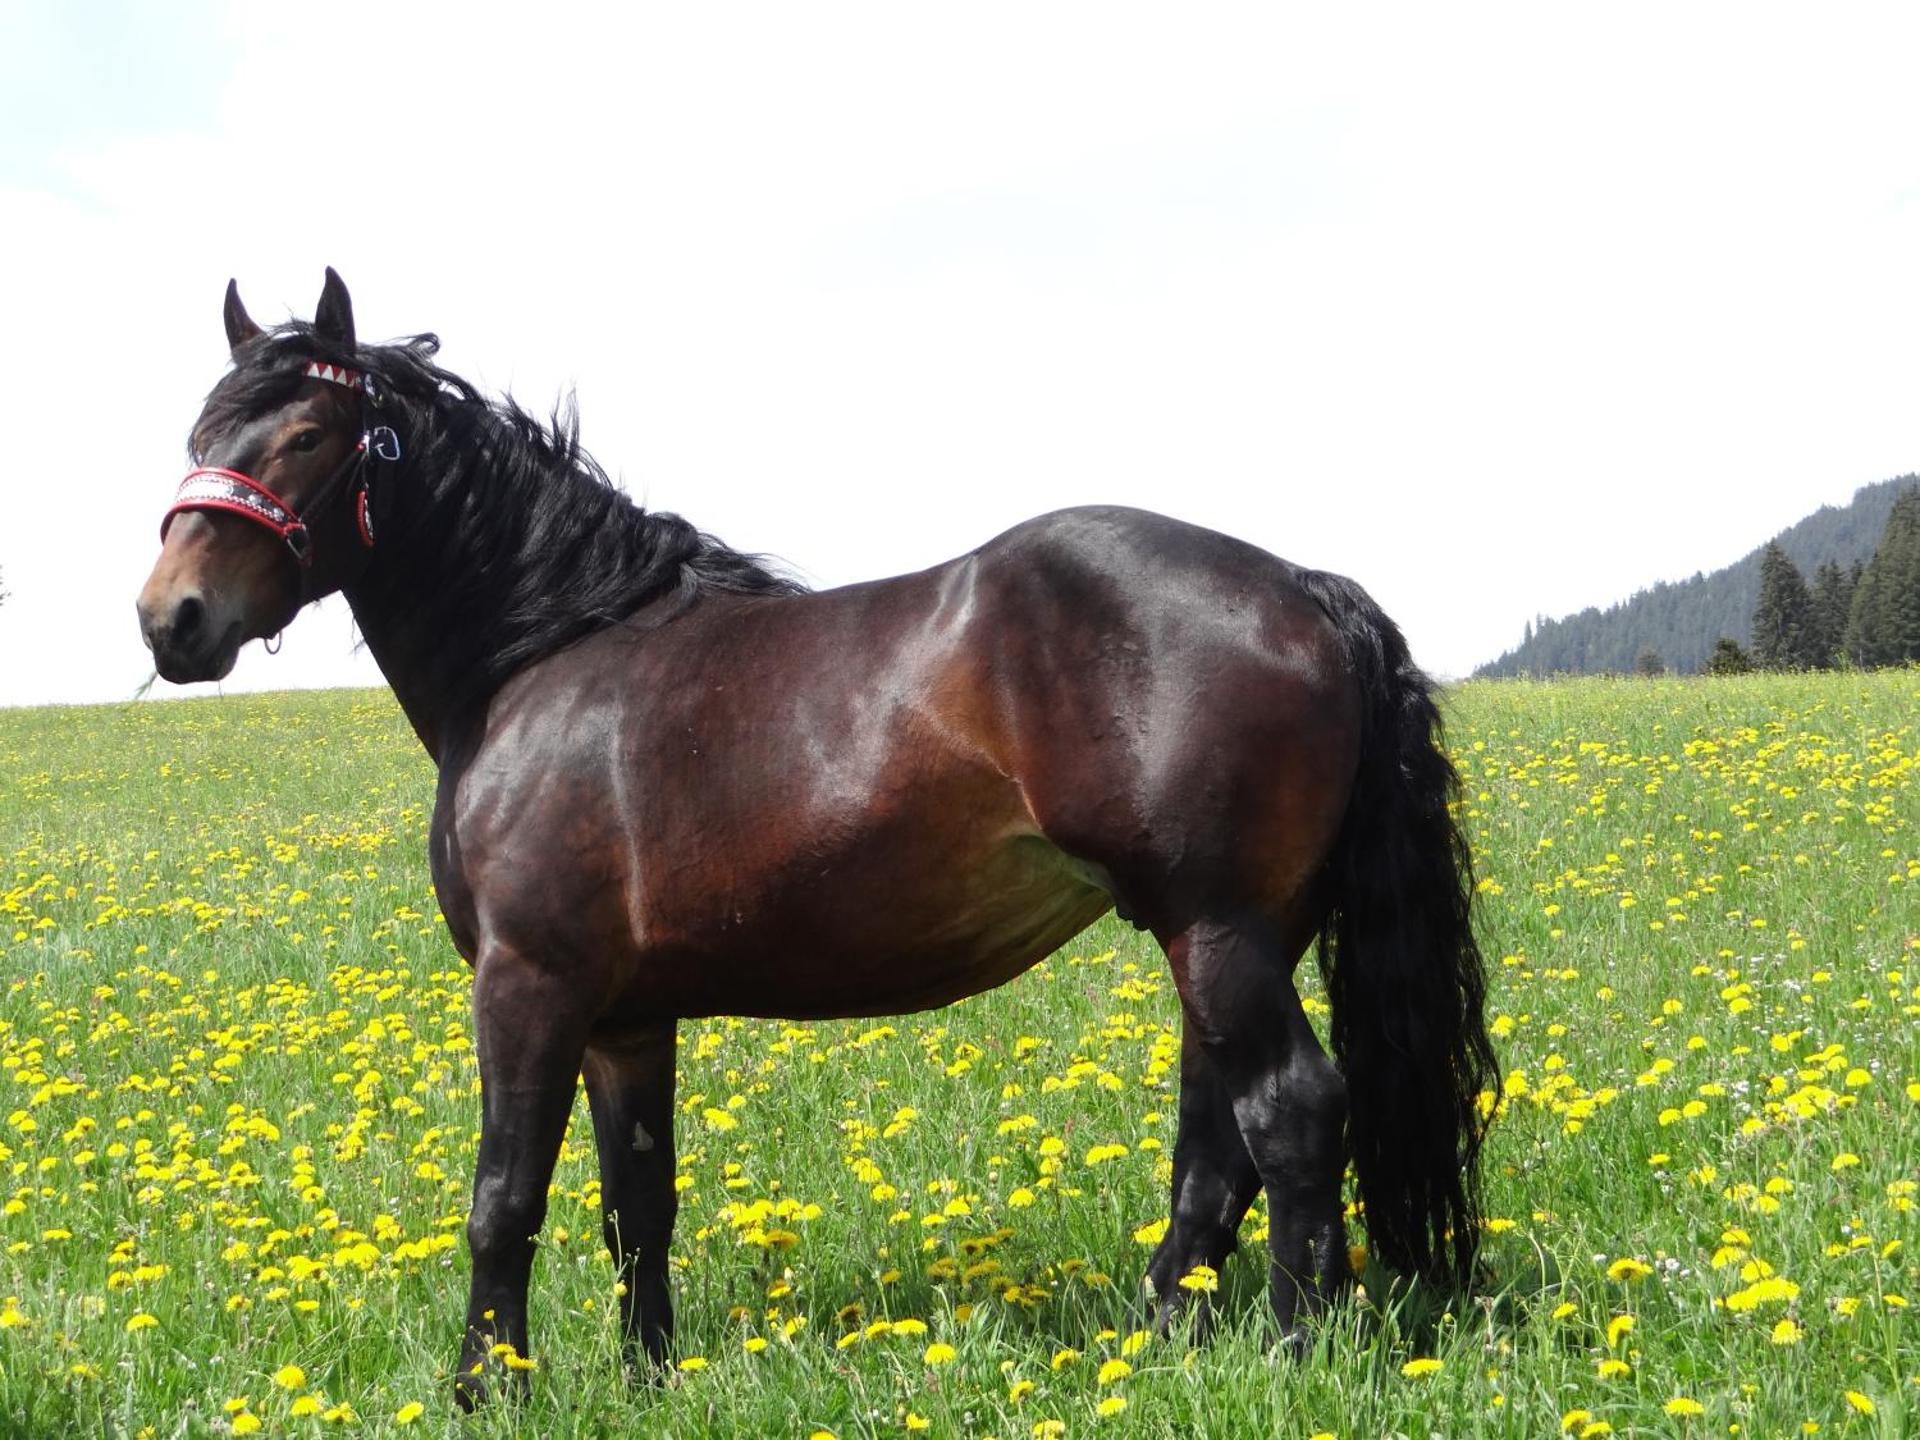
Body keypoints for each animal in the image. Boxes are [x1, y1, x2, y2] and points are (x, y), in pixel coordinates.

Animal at [136, 270, 1497, 1408]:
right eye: (201, 439)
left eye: (307, 437)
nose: (170, 621)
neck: (545, 651)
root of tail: (1306, 588)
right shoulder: (627, 1019)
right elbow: (638, 1207)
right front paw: (647, 1380)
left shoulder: (529, 986)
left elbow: (503, 1202)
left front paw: (487, 1395)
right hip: (1230, 936)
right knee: (1217, 1143)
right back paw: (1158, 1340)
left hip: (1218, 930)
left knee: (1292, 1116)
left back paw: (1294, 1349)